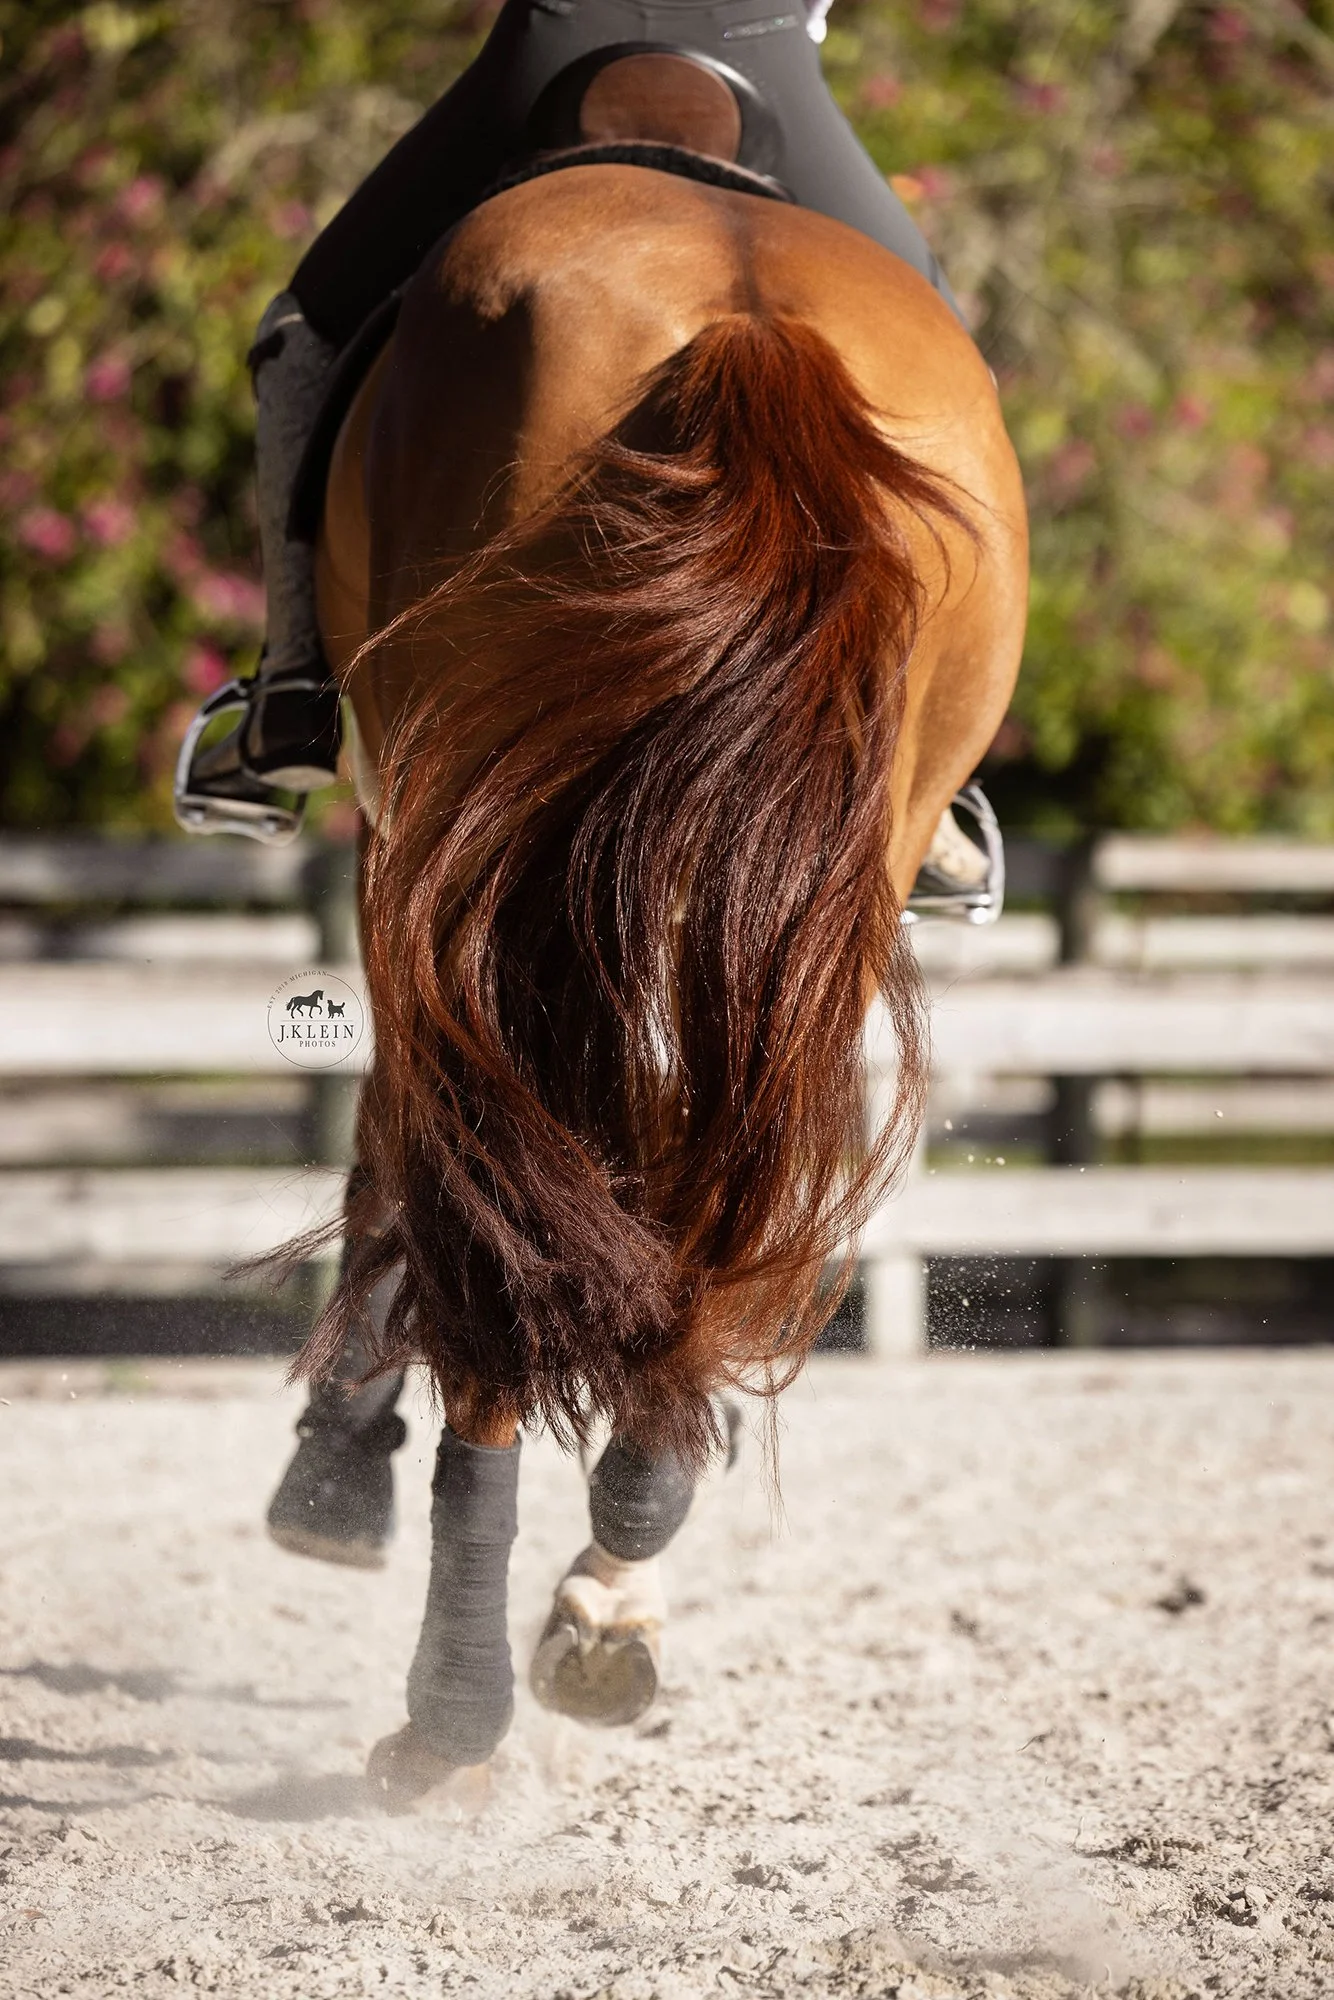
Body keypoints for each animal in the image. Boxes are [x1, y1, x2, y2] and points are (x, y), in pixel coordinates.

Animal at [301, 149, 1027, 1810]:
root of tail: (745, 313)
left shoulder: (393, 834)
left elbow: (390, 1152)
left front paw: (334, 1466)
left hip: (467, 841)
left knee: (490, 1213)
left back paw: (451, 1711)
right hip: (836, 872)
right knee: (726, 1188)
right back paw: (614, 1580)